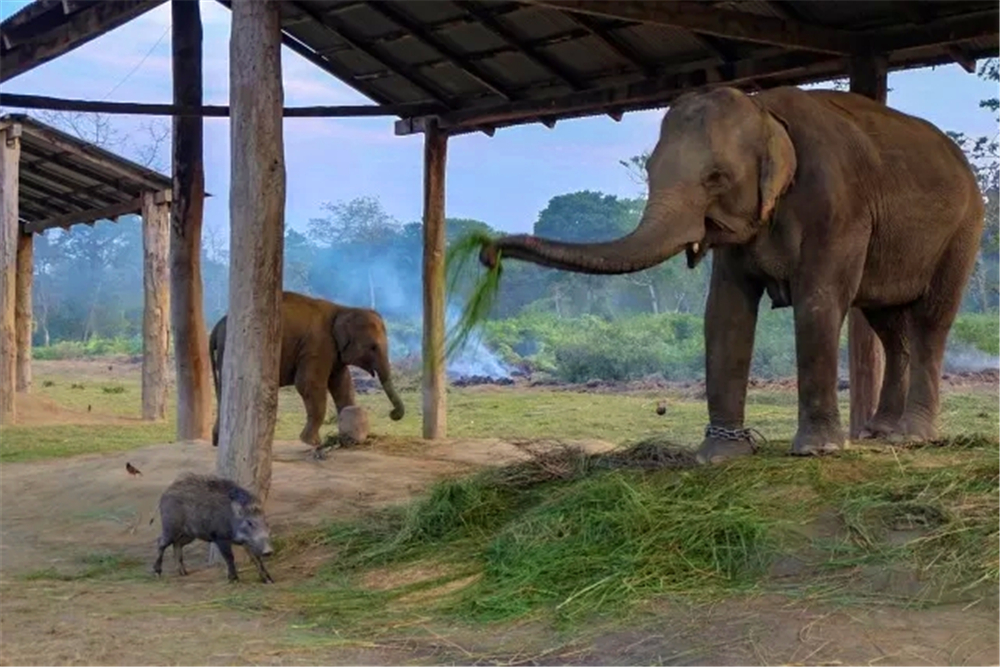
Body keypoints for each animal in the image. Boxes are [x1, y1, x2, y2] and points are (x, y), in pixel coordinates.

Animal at [209, 290, 404, 448]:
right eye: (373, 347)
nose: (393, 414)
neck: (344, 309)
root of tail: (217, 325)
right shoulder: (317, 345)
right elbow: (308, 383)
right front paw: (312, 442)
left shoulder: (333, 352)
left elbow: (342, 385)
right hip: (230, 348)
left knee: (224, 391)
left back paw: (217, 442)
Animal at [478, 85, 984, 464]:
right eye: (650, 170)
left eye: (716, 178)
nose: (487, 252)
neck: (766, 111)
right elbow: (725, 311)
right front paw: (718, 455)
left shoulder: (838, 207)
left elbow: (818, 301)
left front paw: (816, 451)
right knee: (888, 324)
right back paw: (878, 432)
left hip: (964, 230)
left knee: (930, 322)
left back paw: (911, 436)